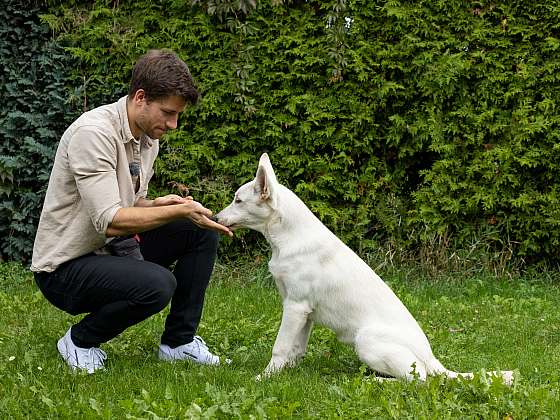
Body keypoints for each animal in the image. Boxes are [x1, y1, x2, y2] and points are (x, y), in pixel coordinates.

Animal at [217, 153, 516, 384]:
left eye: (238, 201)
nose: (215, 218)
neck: (290, 237)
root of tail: (433, 360)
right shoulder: (305, 312)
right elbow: (296, 349)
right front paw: (287, 374)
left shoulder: (295, 306)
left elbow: (279, 347)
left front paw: (264, 378)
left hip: (366, 340)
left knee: (418, 381)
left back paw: (376, 382)